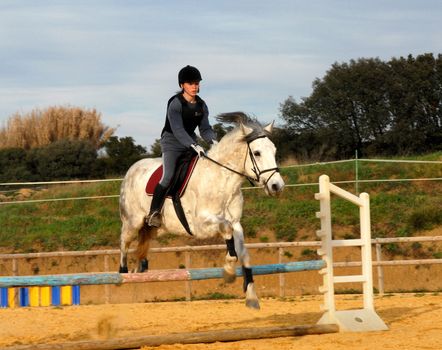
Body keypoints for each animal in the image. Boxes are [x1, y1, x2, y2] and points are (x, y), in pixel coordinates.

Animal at [118, 112, 284, 308]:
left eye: (274, 151)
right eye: (257, 153)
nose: (277, 186)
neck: (223, 180)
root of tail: (131, 170)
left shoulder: (236, 223)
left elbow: (242, 250)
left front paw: (250, 294)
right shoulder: (200, 225)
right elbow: (226, 229)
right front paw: (229, 270)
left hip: (155, 229)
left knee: (142, 246)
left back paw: (140, 268)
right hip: (132, 222)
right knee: (124, 242)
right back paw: (122, 273)